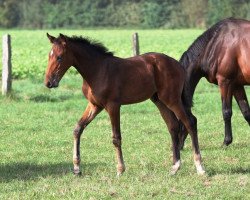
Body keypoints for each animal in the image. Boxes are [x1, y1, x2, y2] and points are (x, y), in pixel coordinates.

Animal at [44, 32, 205, 175]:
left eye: (59, 57)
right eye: (49, 56)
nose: (49, 82)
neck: (98, 70)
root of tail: (178, 65)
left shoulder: (113, 105)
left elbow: (116, 138)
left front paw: (120, 170)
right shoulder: (95, 105)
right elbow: (78, 128)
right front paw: (77, 168)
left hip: (172, 99)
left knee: (190, 122)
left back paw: (200, 167)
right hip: (159, 100)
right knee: (173, 125)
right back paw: (175, 167)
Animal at [179, 18, 249, 148]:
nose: (177, 147)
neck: (216, 44)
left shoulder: (225, 82)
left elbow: (226, 112)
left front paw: (226, 141)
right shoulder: (237, 85)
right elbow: (246, 111)